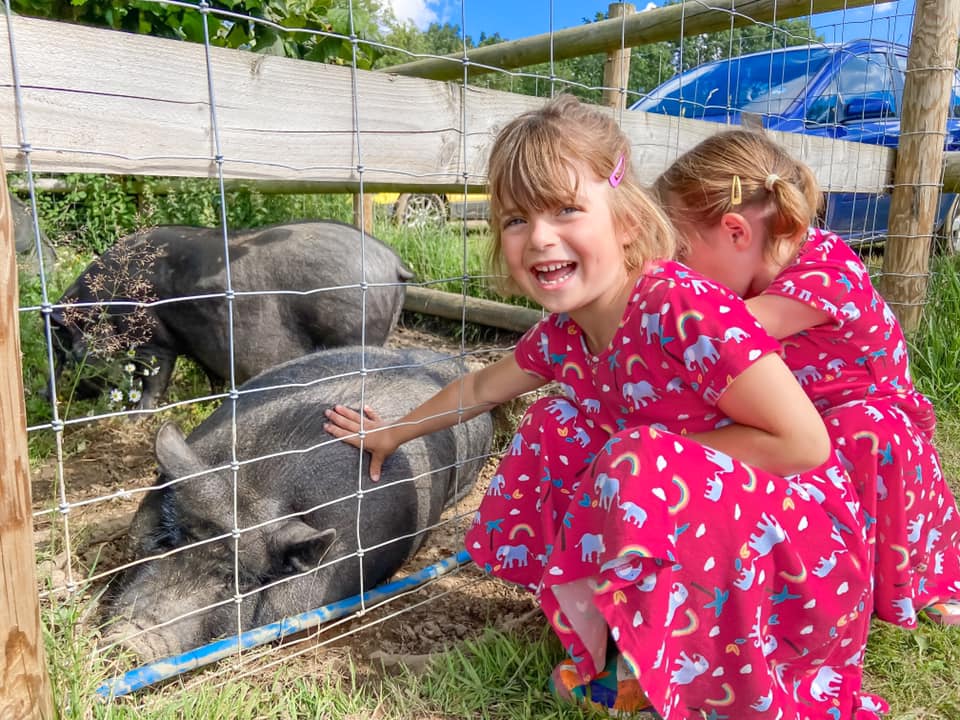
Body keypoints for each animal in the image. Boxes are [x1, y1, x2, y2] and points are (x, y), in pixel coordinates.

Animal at [51, 219, 412, 410]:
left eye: (68, 350)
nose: (72, 394)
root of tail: (393, 260)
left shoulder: (152, 336)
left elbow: (154, 375)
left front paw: (139, 414)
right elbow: (212, 374)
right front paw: (212, 403)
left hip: (353, 329)